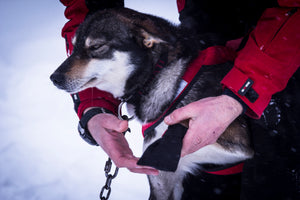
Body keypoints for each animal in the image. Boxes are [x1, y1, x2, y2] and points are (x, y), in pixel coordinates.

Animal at [50, 7, 254, 198]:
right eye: (73, 47)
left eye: (96, 46)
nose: (54, 78)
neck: (161, 75)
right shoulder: (162, 184)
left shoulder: (237, 143)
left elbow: (161, 150)